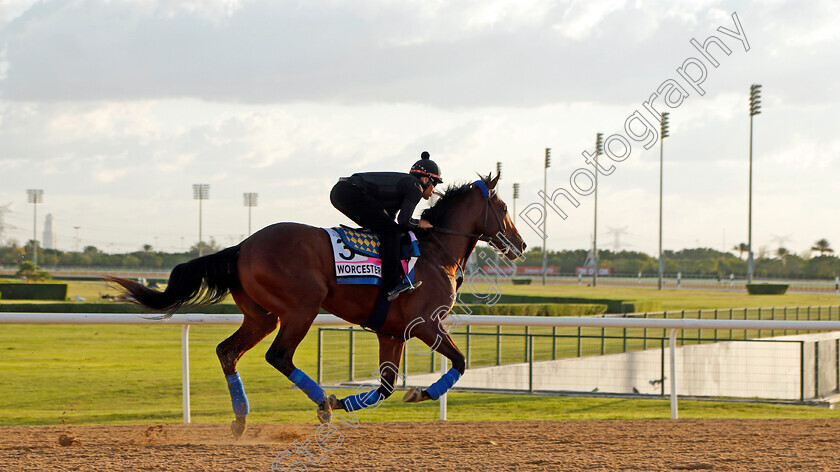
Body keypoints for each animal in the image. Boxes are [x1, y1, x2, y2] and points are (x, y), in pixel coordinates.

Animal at [105, 173, 524, 438]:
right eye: (504, 206)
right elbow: (461, 361)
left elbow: (387, 385)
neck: (436, 252)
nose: (520, 245)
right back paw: (320, 401)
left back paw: (242, 421)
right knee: (278, 356)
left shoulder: (392, 332)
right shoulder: (425, 323)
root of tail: (242, 246)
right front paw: (421, 393)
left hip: (263, 316)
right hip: (301, 309)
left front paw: (350, 402)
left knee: (228, 351)